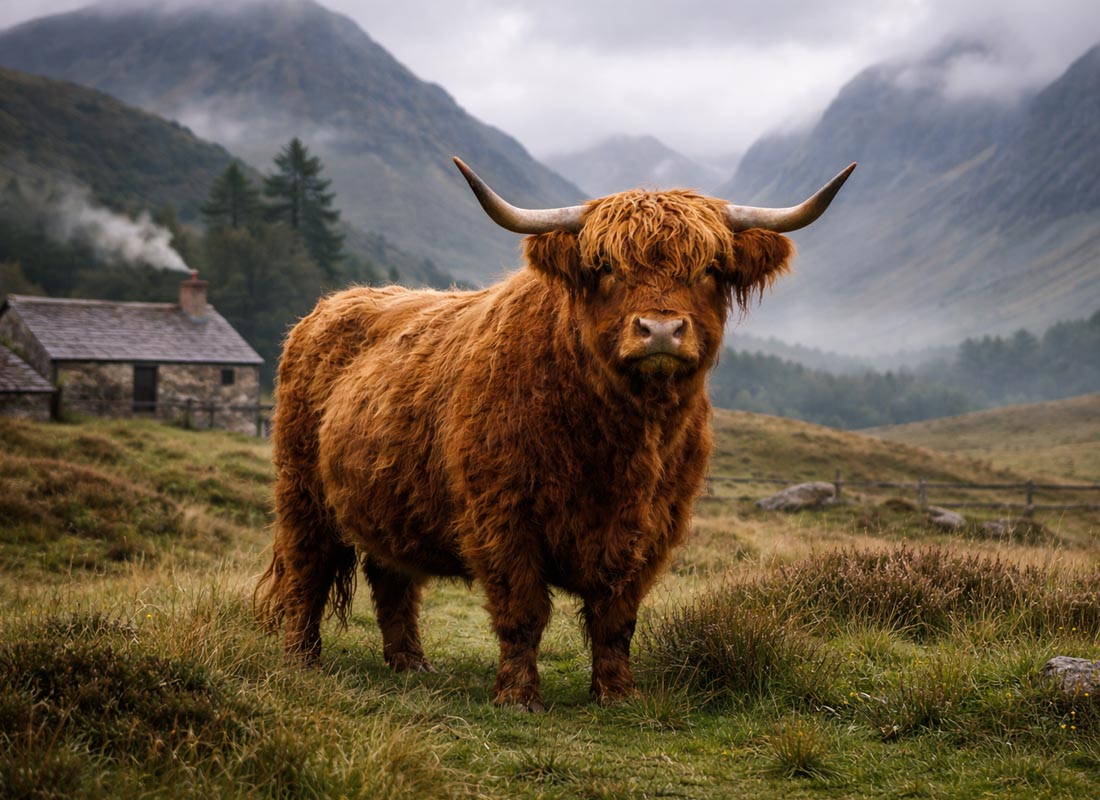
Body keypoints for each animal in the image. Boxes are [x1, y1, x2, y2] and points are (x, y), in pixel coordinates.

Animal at [255, 157, 855, 711]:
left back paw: (410, 663)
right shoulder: (502, 516)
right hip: (302, 492)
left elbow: (616, 618)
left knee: (392, 578)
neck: (621, 442)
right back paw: (301, 660)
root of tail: (334, 303)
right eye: (605, 265)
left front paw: (617, 693)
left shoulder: (652, 527)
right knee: (306, 572)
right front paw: (519, 696)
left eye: (709, 267)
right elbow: (522, 612)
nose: (660, 330)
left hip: (388, 499)